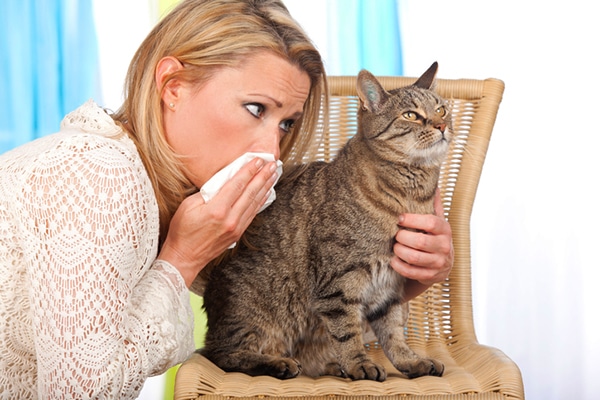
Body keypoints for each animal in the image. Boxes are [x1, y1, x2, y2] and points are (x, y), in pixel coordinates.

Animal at [200, 61, 450, 382]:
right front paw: (359, 365)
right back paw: (277, 363)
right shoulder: (339, 283)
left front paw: (411, 361)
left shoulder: (389, 290)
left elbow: (394, 336)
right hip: (252, 315)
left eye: (442, 109)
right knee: (223, 355)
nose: (442, 126)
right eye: (411, 115)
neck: (412, 194)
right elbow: (347, 333)